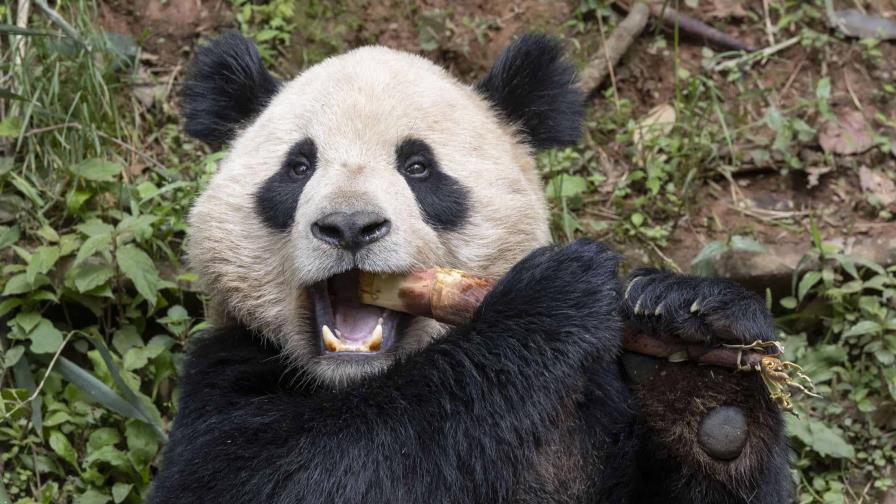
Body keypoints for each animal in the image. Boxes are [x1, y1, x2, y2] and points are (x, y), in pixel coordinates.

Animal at [150, 32, 796, 504]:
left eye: (418, 167)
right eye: (298, 166)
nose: (350, 227)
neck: (360, 384)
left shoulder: (591, 409)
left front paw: (697, 352)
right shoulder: (225, 375)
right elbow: (304, 474)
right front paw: (551, 298)